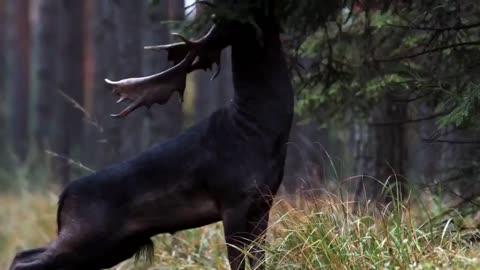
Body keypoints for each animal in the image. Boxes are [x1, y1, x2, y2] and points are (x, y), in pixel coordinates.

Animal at [9, 7, 294, 270]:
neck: (257, 129)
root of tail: (63, 197)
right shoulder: (232, 199)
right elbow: (238, 261)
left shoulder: (262, 203)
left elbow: (259, 260)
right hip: (85, 234)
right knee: (23, 258)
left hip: (114, 245)